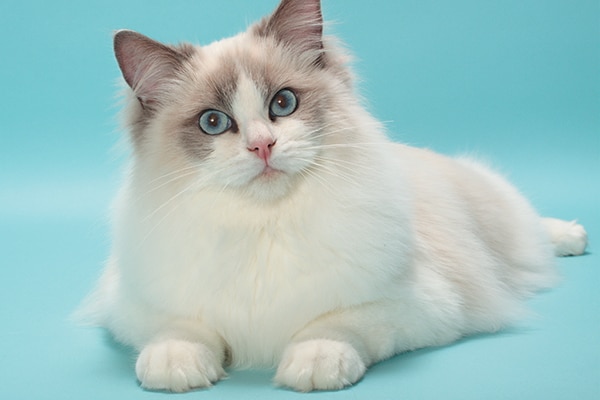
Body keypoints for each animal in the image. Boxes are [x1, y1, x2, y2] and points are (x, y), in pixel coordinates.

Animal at [77, 0, 588, 394]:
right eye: (213, 123)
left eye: (283, 104)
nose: (262, 146)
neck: (265, 226)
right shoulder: (138, 305)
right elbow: (181, 329)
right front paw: (175, 366)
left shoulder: (414, 307)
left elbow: (334, 325)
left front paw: (314, 363)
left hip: (504, 222)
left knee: (535, 230)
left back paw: (573, 237)